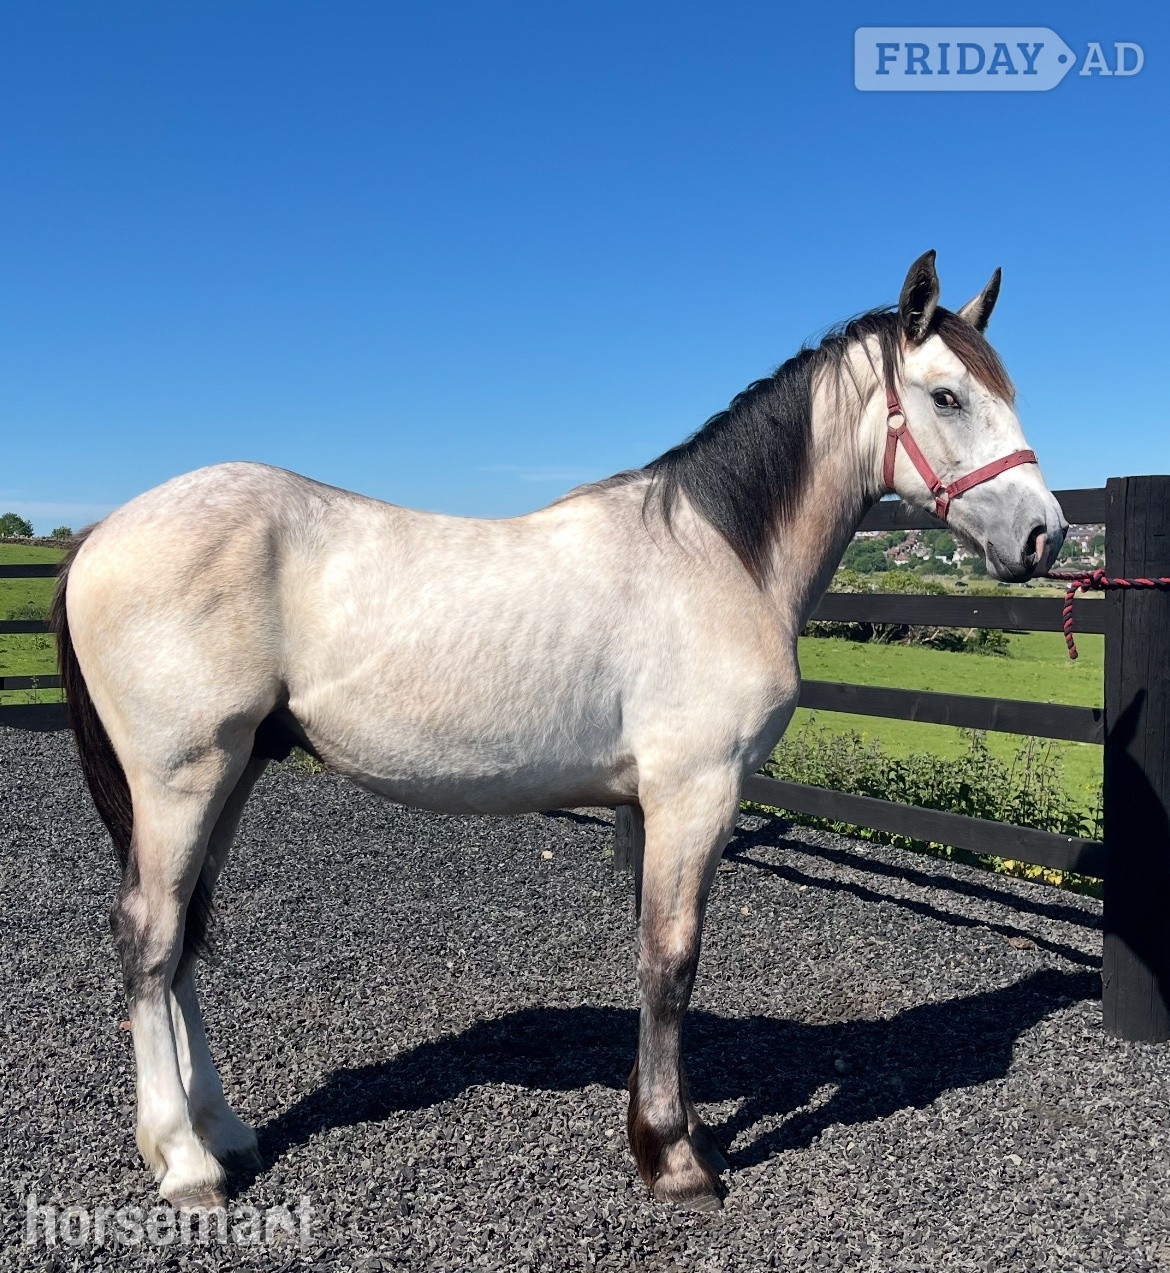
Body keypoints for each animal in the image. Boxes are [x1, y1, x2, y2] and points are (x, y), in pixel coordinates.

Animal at [51, 251, 1066, 1212]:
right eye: (947, 396)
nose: (1045, 536)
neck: (718, 558)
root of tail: (101, 535)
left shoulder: (648, 807)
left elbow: (656, 960)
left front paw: (668, 1127)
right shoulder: (696, 793)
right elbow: (673, 959)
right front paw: (675, 1159)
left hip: (232, 774)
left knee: (184, 937)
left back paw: (222, 1132)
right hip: (182, 777)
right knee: (150, 938)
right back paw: (185, 1162)